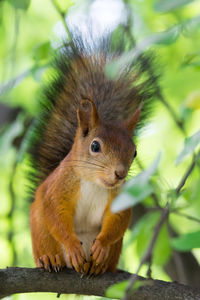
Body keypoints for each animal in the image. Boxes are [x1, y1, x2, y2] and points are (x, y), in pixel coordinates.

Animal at [27, 32, 158, 274]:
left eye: (134, 152)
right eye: (95, 146)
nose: (120, 173)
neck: (94, 183)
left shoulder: (118, 198)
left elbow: (118, 220)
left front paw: (102, 246)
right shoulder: (56, 188)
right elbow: (55, 215)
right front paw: (71, 245)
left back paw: (98, 265)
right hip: (40, 232)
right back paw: (50, 258)